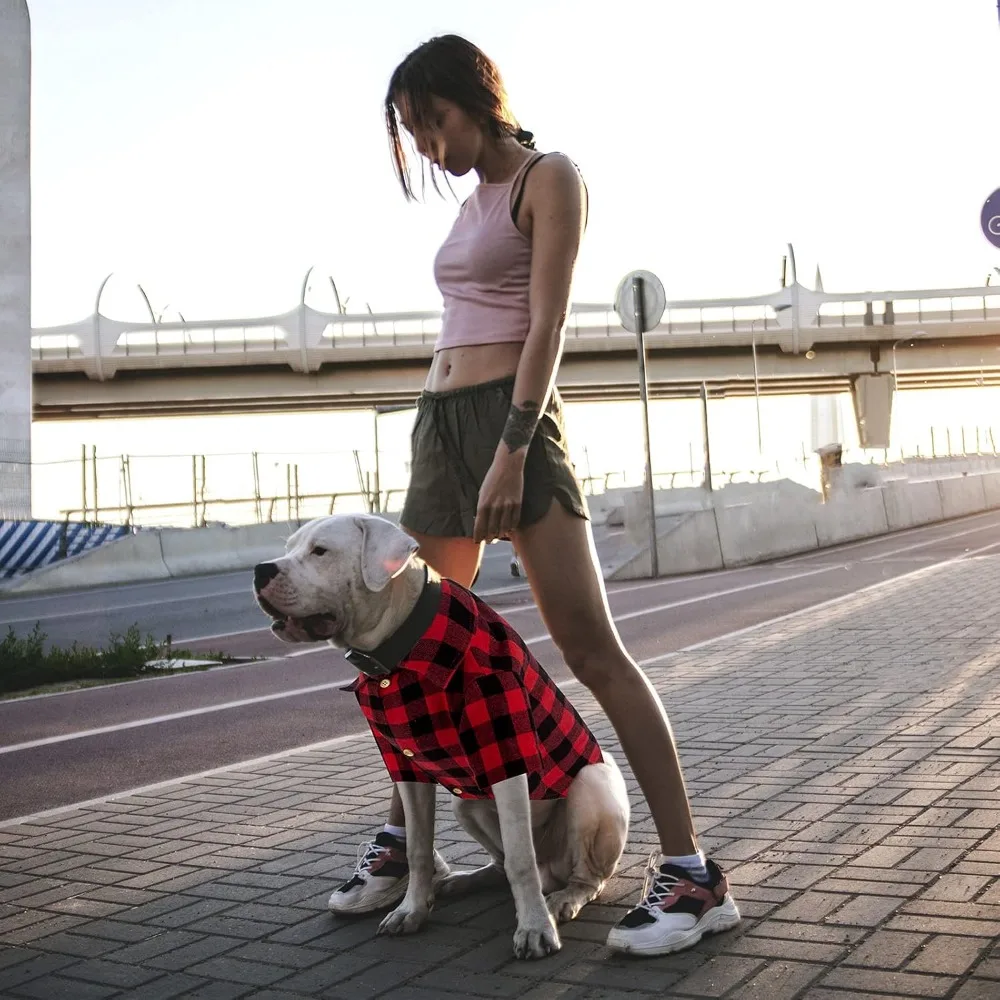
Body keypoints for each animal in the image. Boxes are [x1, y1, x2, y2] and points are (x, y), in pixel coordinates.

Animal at [254, 516, 628, 960]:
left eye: (320, 551)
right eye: (289, 547)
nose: (260, 570)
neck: (398, 648)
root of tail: (552, 870)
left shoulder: (505, 751)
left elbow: (520, 858)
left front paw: (535, 929)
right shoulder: (406, 764)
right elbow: (418, 849)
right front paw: (411, 910)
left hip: (592, 785)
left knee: (579, 875)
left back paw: (564, 899)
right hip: (463, 803)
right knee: (502, 863)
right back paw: (465, 880)